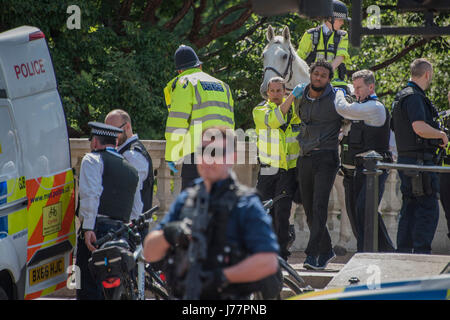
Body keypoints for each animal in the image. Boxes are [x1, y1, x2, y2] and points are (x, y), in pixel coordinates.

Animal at [262, 25, 354, 254]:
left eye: (284, 56)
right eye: (263, 55)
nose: (265, 87)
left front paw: (290, 235)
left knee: (342, 196)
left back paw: (343, 240)